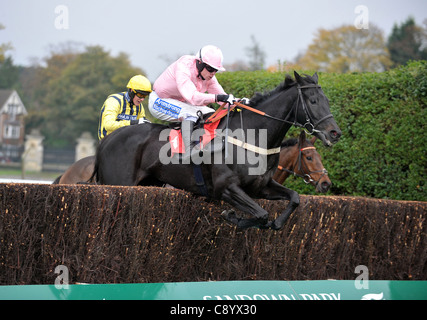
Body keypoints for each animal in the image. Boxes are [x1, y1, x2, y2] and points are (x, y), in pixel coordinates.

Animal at [93, 71, 342, 229]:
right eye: (312, 101)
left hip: (149, 184)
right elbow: (261, 214)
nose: (334, 132)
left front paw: (275, 222)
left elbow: (294, 199)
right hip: (119, 184)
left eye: (327, 100)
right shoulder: (227, 188)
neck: (251, 136)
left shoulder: (260, 187)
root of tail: (108, 138)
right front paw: (233, 217)